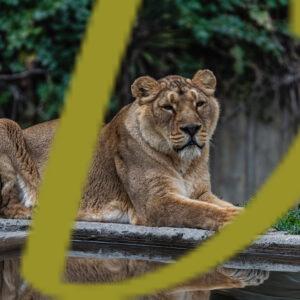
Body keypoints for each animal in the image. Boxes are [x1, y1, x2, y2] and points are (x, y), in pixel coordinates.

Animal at [0, 69, 268, 296]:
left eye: (200, 104)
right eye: (168, 107)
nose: (192, 128)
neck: (182, 162)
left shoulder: (201, 192)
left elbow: (219, 205)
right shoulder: (155, 203)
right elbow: (201, 212)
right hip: (7, 125)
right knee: (6, 206)